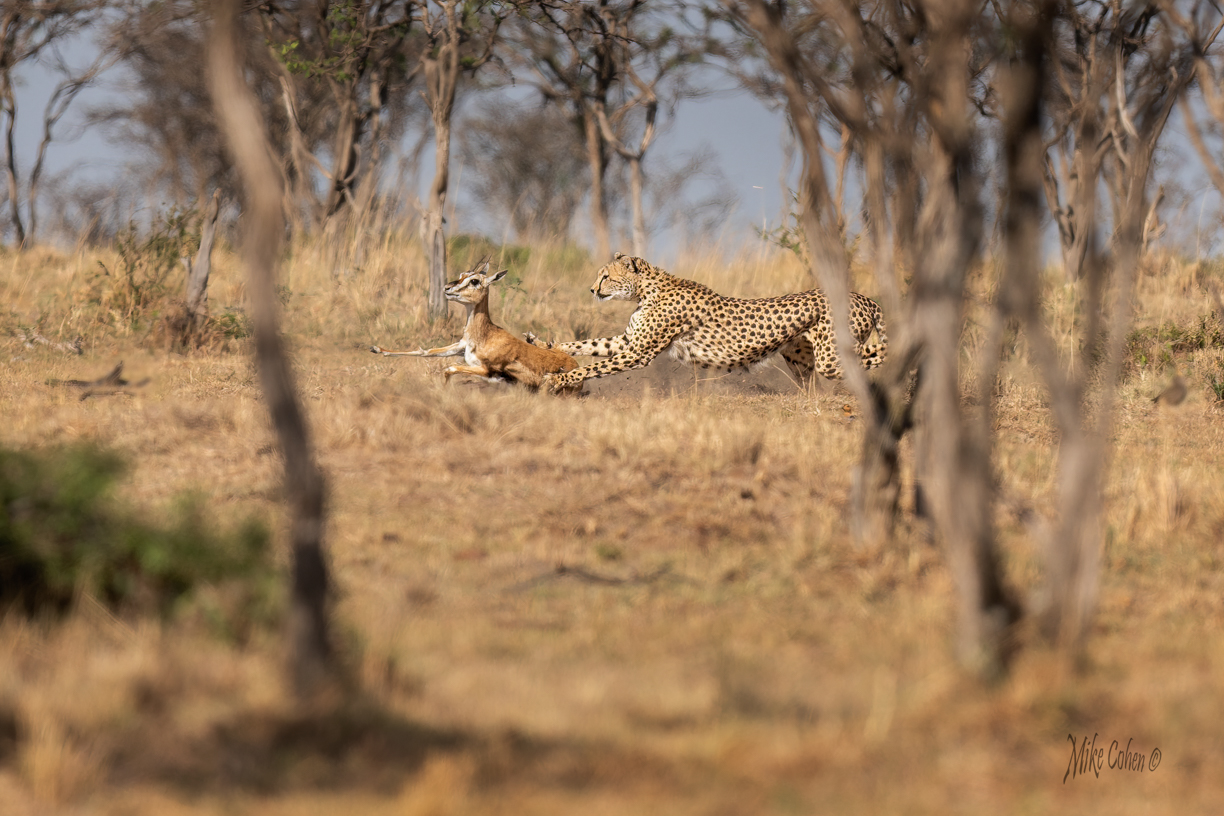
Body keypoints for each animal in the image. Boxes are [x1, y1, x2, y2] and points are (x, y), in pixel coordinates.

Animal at [532, 252, 887, 392]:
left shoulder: (638, 353)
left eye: (605, 276)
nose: (592, 289)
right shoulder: (629, 342)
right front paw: (545, 344)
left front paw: (560, 379)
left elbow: (592, 365)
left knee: (875, 356)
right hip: (799, 356)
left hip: (832, 357)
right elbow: (587, 345)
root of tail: (864, 297)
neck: (646, 290)